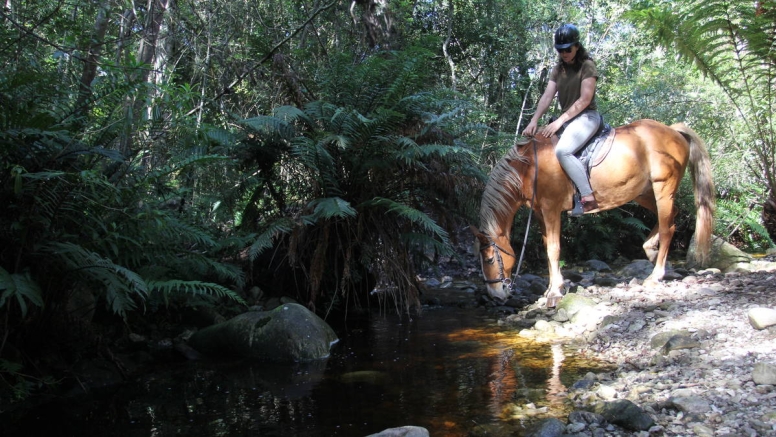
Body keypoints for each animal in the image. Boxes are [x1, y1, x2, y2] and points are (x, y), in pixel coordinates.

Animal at [470, 117, 712, 304]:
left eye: (490, 259)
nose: (495, 295)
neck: (529, 168)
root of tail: (673, 131)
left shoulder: (551, 209)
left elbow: (554, 249)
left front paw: (555, 292)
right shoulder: (539, 213)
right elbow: (548, 247)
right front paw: (551, 288)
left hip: (663, 188)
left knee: (668, 227)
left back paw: (656, 275)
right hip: (644, 193)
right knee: (673, 216)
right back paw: (650, 249)